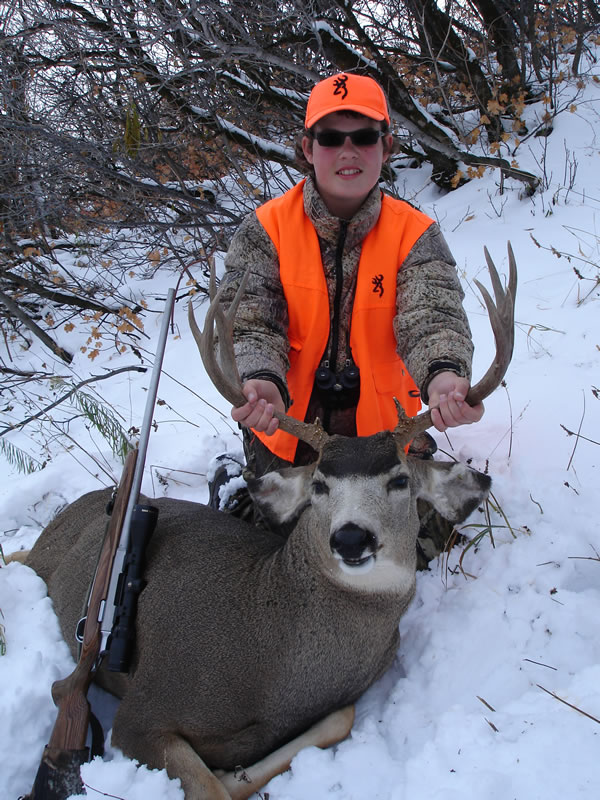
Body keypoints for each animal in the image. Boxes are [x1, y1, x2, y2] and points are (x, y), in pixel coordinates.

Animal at [24, 244, 516, 800]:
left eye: (399, 480)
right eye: (319, 485)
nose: (351, 538)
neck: (275, 659)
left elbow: (338, 719)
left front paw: (235, 768)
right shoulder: (144, 708)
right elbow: (205, 785)